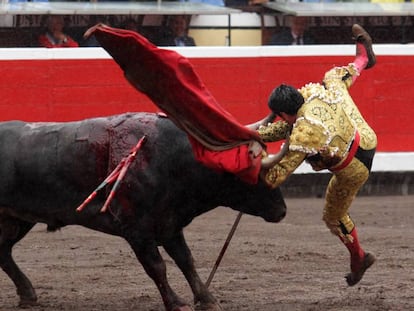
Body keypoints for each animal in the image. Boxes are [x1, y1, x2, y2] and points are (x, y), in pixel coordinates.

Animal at [0, 112, 286, 311]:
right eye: (253, 175)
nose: (282, 211)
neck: (171, 159)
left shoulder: (170, 225)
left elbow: (186, 260)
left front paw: (207, 299)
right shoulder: (136, 229)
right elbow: (157, 266)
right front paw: (177, 303)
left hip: (16, 220)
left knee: (3, 252)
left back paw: (28, 294)